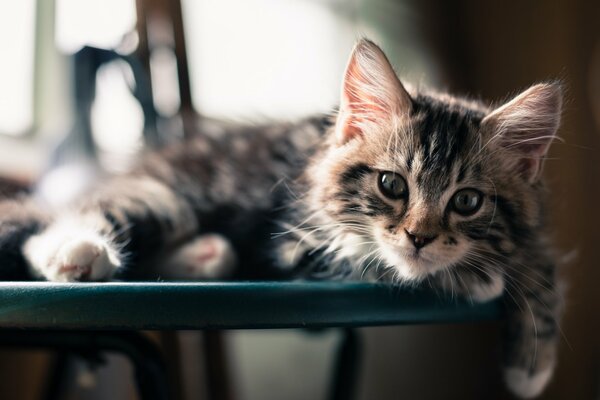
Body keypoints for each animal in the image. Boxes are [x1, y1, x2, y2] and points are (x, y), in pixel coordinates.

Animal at [2, 39, 564, 396]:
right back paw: (75, 253)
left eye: (467, 202)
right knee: (57, 227)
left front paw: (531, 361)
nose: (421, 238)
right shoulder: (300, 245)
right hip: (165, 196)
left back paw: (207, 254)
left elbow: (540, 262)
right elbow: (383, 263)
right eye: (392, 185)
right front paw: (480, 280)